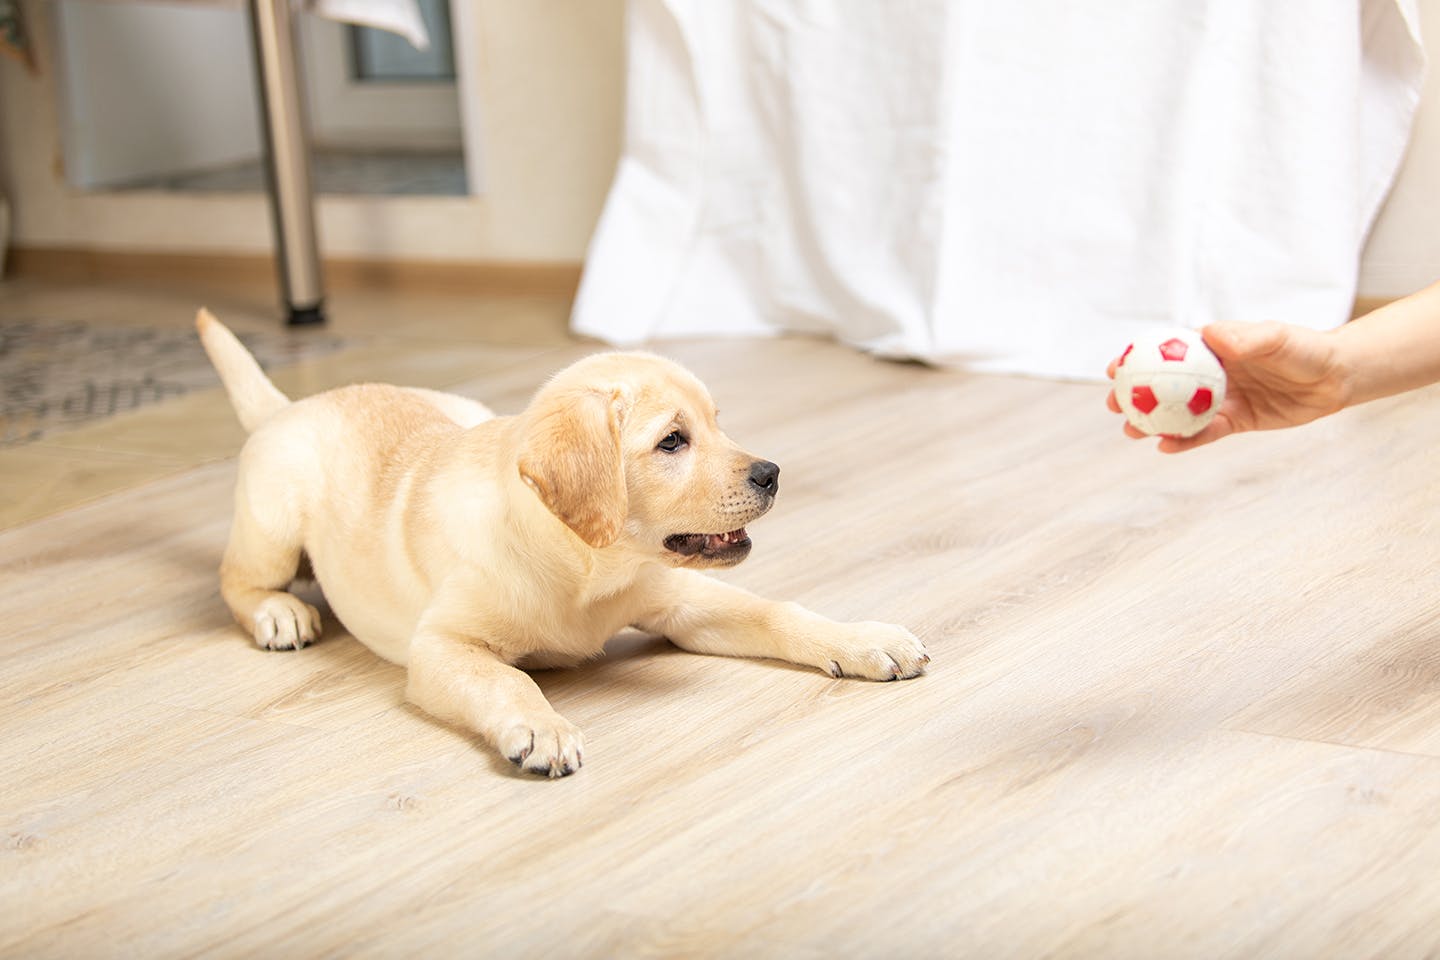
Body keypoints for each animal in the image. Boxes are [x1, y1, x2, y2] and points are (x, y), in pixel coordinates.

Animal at [197, 312, 927, 777]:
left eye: (719, 424)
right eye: (672, 441)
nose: (772, 474)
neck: (586, 566)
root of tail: (293, 405)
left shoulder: (679, 599)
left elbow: (777, 611)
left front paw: (863, 639)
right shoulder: (441, 648)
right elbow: (507, 678)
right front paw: (542, 726)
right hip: (274, 523)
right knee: (235, 579)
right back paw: (279, 613)